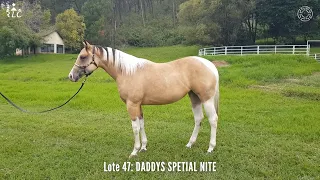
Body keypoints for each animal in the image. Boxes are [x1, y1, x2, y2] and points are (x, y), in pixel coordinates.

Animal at [67, 40, 218, 158]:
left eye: (82, 56)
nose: (71, 76)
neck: (127, 72)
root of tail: (209, 65)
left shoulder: (132, 104)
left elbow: (135, 127)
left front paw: (134, 151)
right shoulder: (138, 105)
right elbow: (142, 124)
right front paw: (143, 147)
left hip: (206, 99)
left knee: (213, 120)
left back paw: (210, 148)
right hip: (195, 97)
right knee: (198, 119)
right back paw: (190, 144)